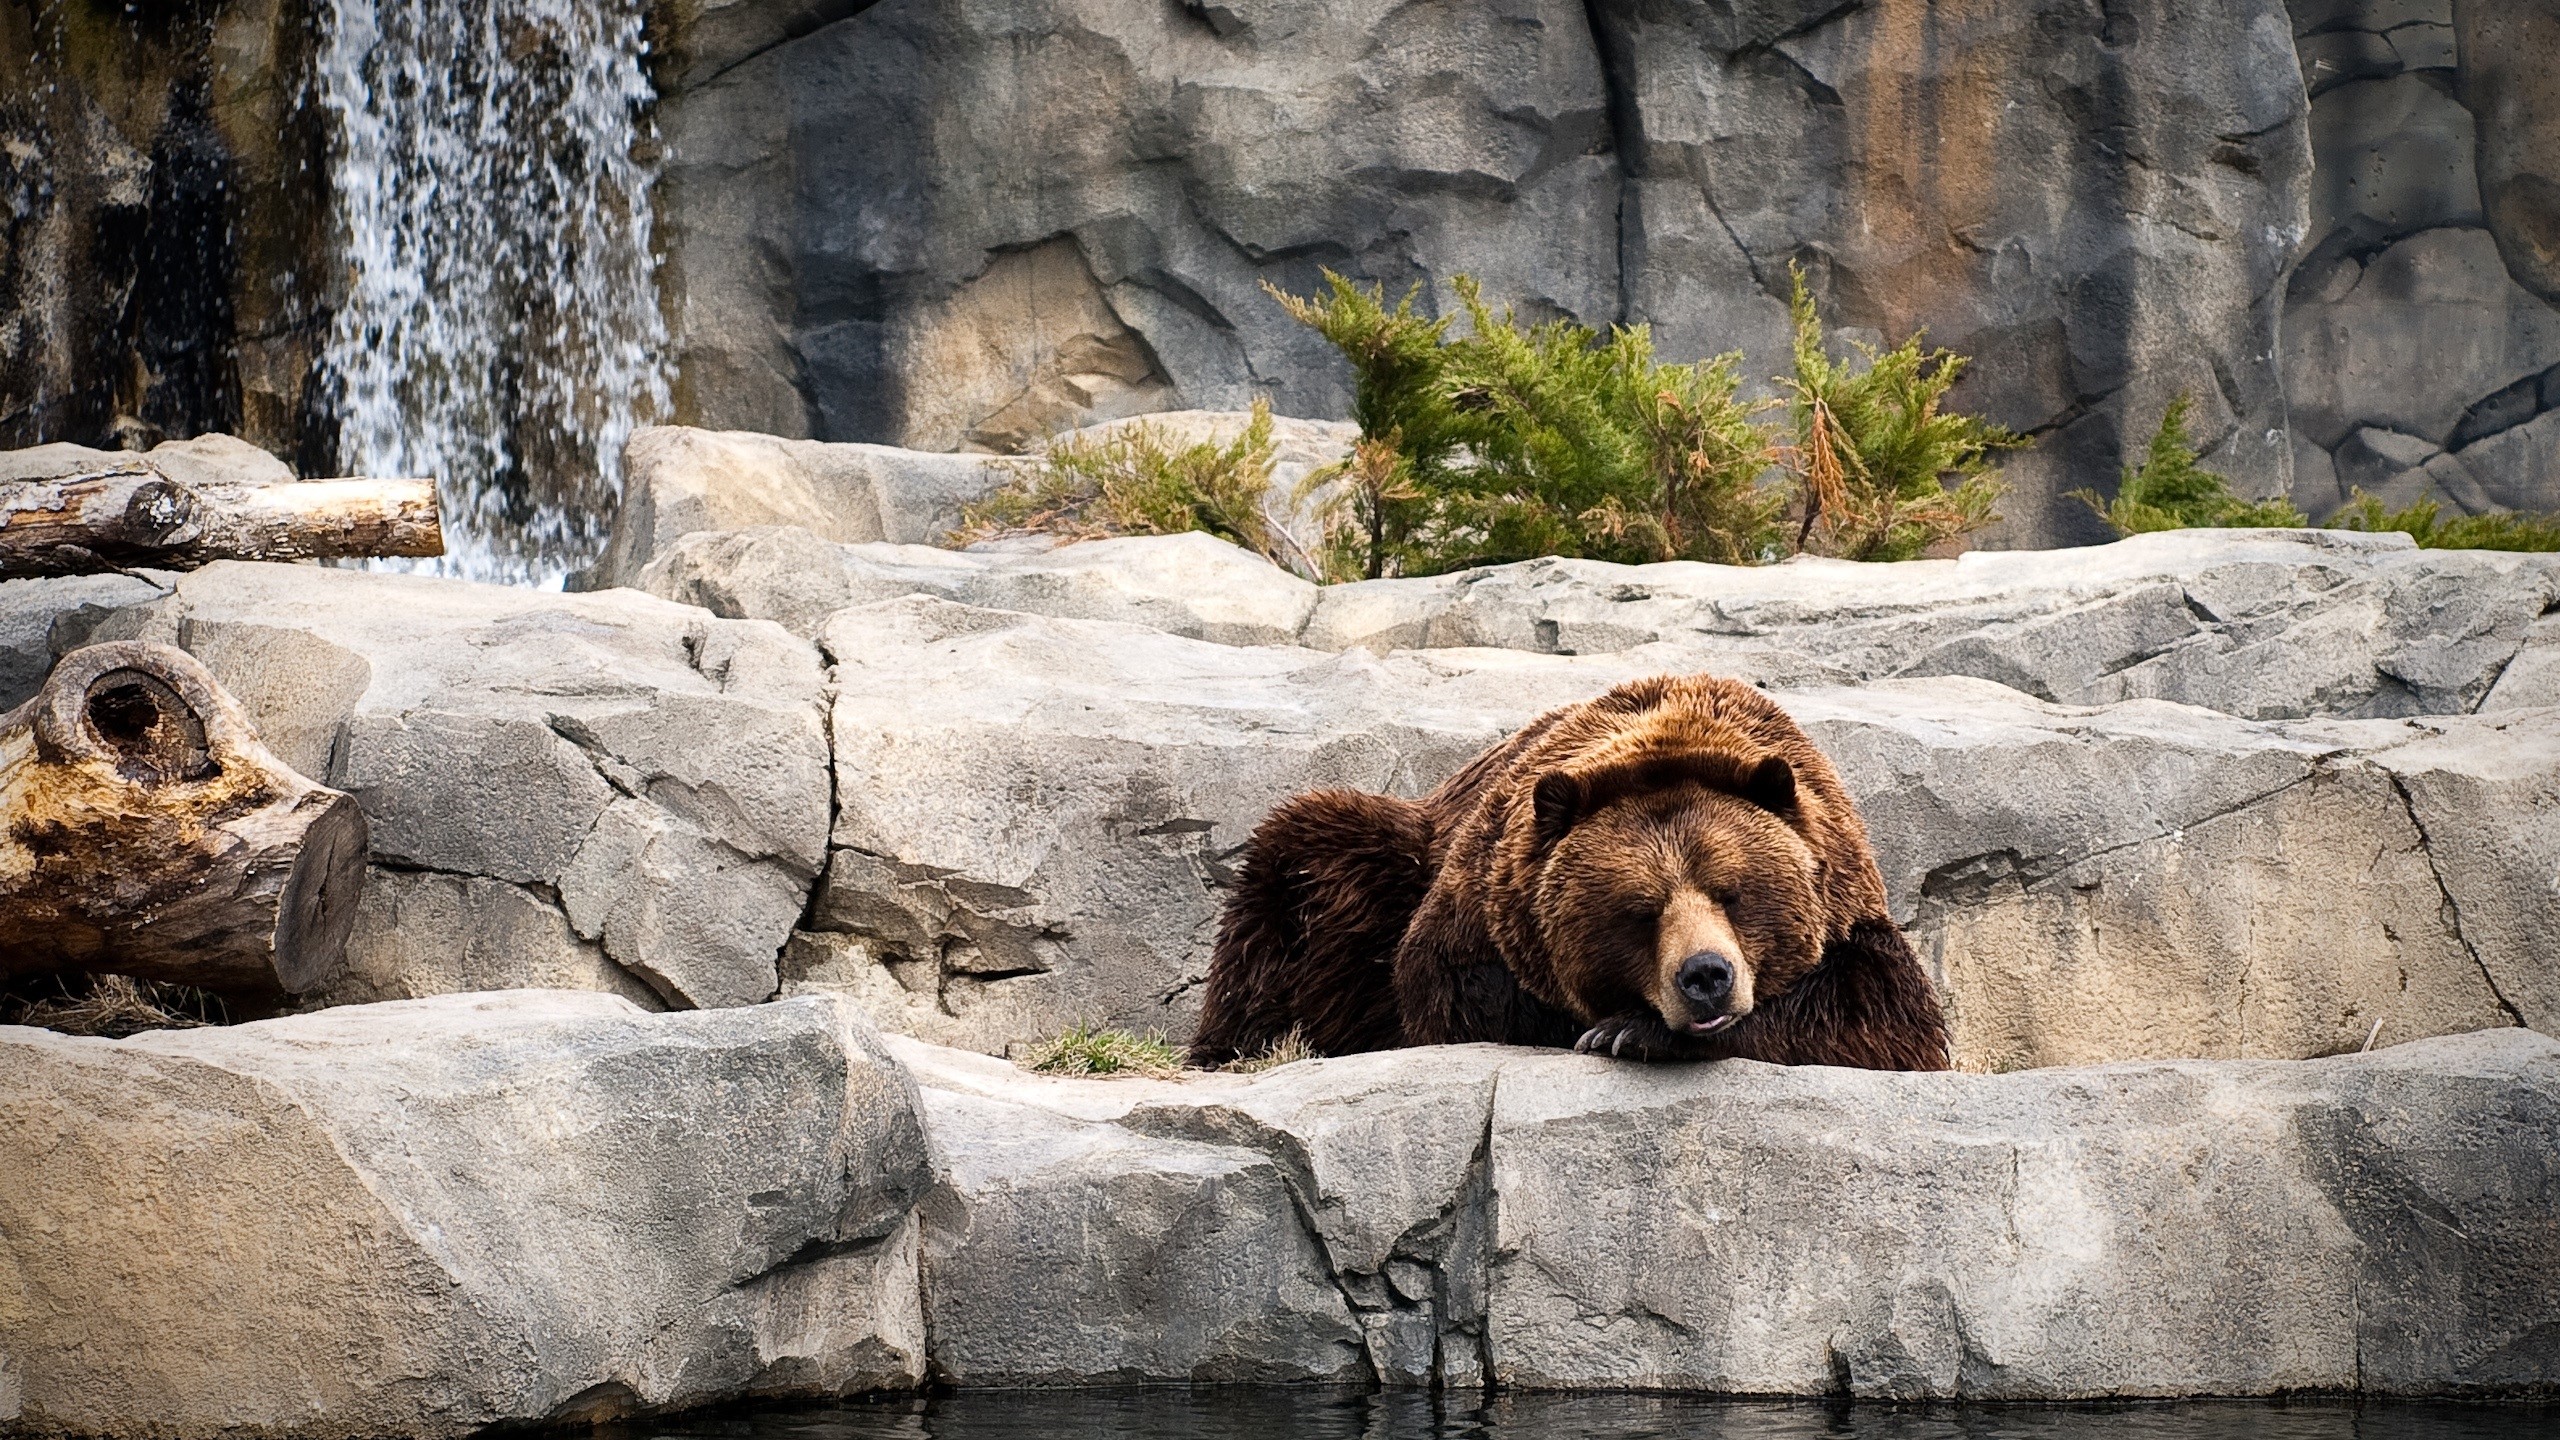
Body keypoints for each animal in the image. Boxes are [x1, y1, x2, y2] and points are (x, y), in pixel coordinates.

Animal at [1188, 672, 1949, 1070]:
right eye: (1641, 910)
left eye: (1732, 893)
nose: (1705, 975)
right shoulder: (1480, 905)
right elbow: (1455, 994)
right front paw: (1614, 1026)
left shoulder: (1847, 903)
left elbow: (1882, 1017)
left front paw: (1631, 1031)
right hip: (1386, 861)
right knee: (1301, 865)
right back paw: (1230, 1046)